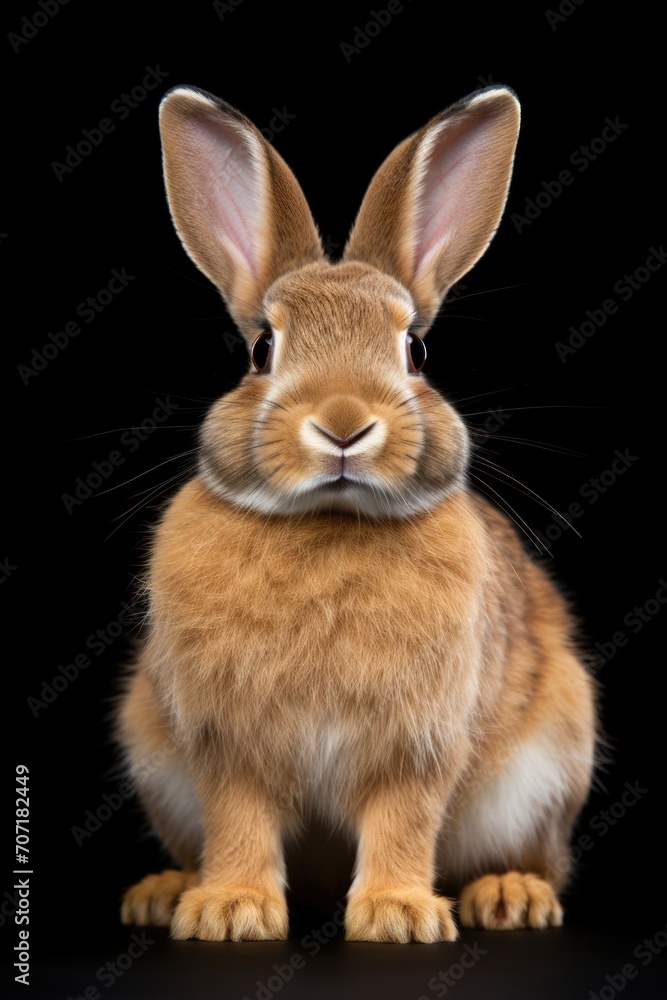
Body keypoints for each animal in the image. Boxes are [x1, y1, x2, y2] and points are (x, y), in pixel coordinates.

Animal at [117, 83, 597, 943]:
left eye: (415, 352)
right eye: (261, 350)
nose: (343, 424)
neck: (329, 522)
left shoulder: (418, 743)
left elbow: (402, 817)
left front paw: (397, 915)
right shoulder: (224, 745)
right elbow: (239, 818)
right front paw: (230, 909)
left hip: (546, 765)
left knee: (532, 857)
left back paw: (508, 896)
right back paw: (163, 892)